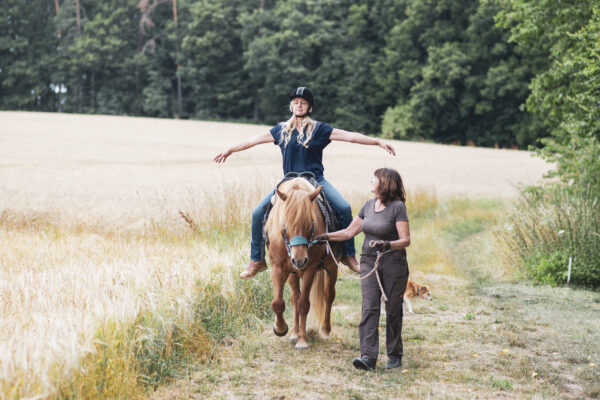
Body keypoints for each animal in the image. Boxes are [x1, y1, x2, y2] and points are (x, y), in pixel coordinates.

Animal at [266, 178, 338, 350]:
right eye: (285, 225)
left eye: (310, 225)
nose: (299, 260)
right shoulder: (278, 268)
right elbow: (278, 303)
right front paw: (281, 329)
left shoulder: (309, 270)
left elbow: (304, 304)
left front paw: (302, 340)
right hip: (292, 273)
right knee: (294, 297)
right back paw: (294, 332)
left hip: (332, 267)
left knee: (328, 296)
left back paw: (325, 331)